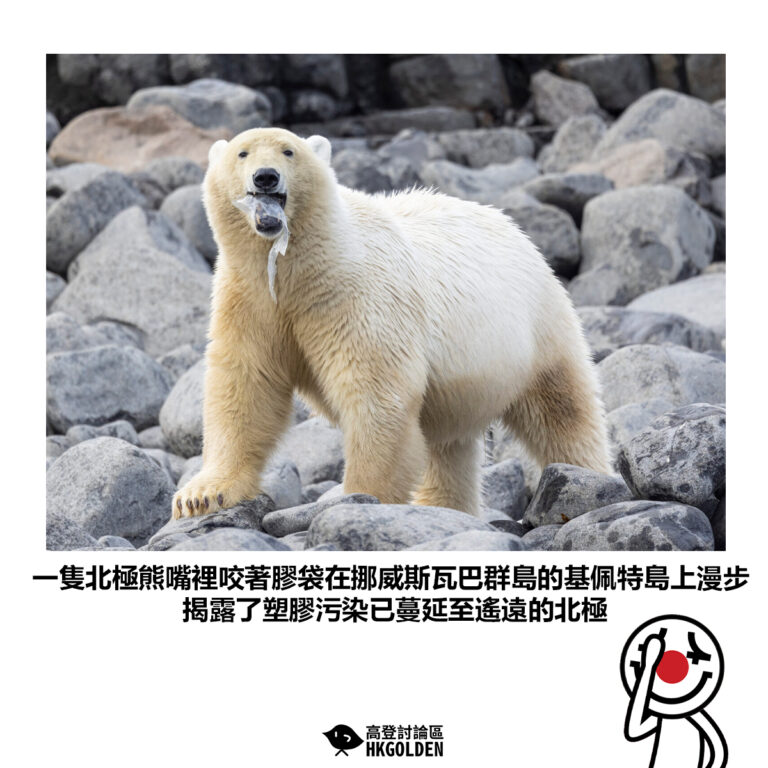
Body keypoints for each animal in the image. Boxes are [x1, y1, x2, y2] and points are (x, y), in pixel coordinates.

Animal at [172, 127, 611, 520]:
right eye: (243, 153)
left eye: (288, 151)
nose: (266, 177)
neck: (298, 268)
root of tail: (513, 227)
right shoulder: (250, 299)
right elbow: (246, 385)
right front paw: (201, 495)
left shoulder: (355, 296)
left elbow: (376, 392)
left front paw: (361, 496)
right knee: (448, 442)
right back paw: (440, 506)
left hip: (535, 324)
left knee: (562, 409)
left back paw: (588, 477)